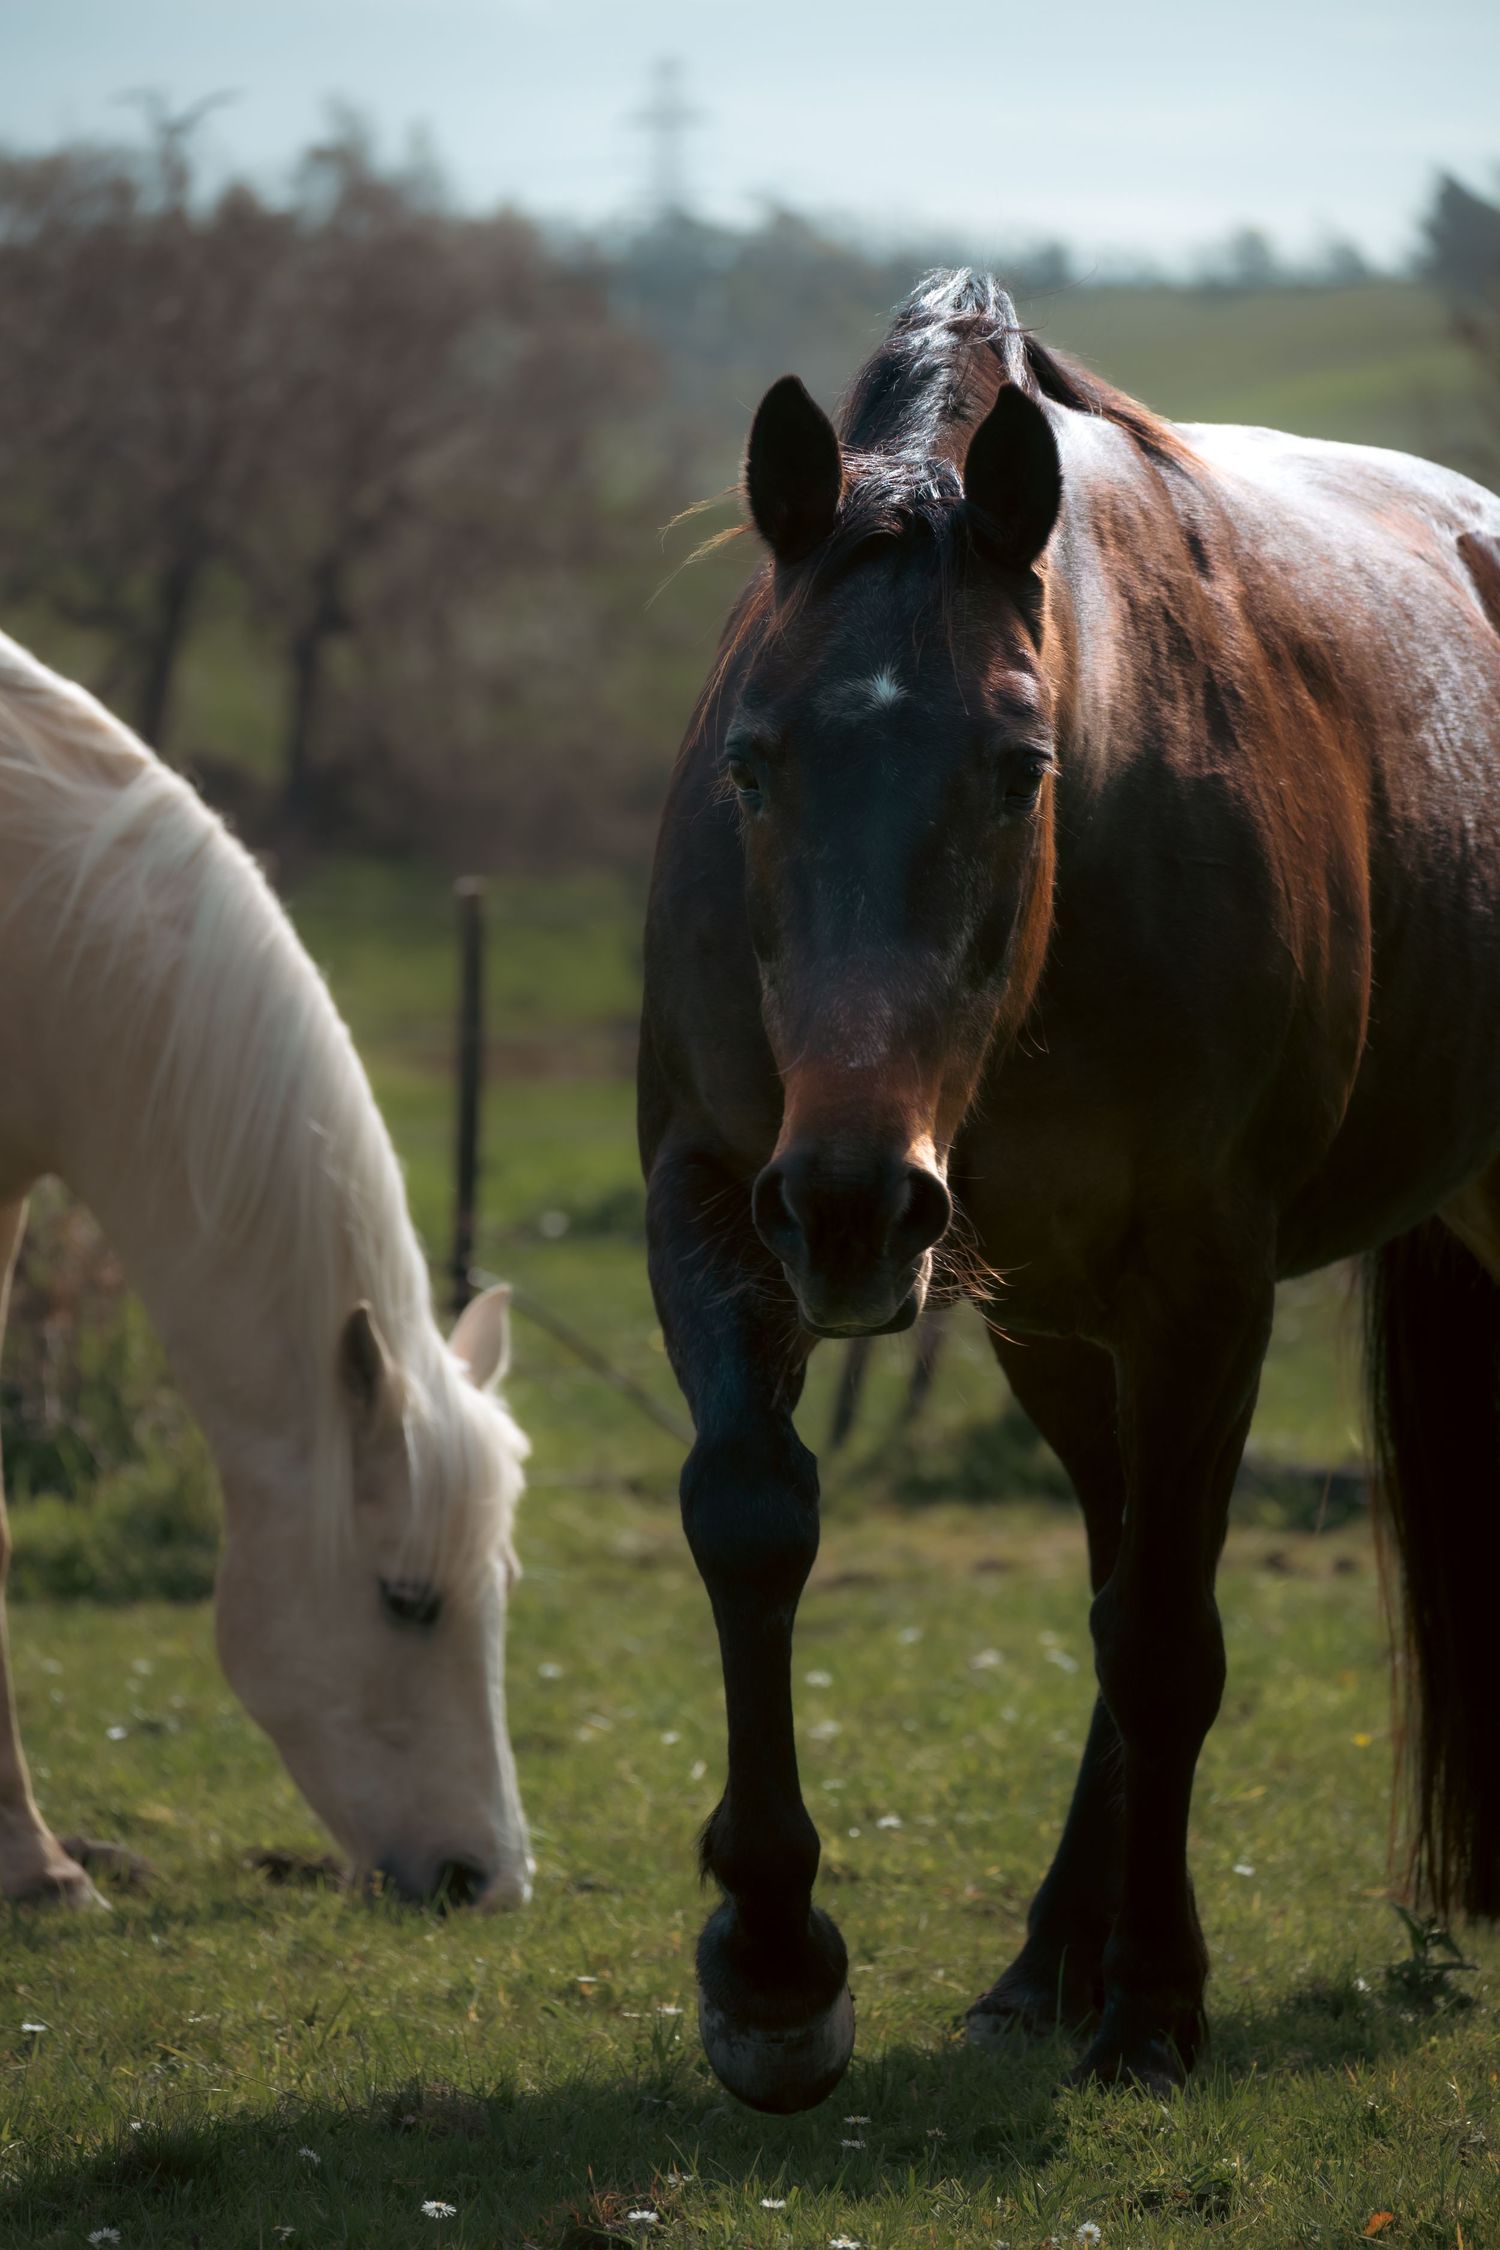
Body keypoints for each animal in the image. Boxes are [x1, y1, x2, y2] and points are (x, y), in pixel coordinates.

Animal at [638, 269, 1500, 2111]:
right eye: (750, 764)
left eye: (1021, 768)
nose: (853, 1203)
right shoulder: (721, 1197)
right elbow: (754, 1518)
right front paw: (773, 1969)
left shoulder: (1209, 1283)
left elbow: (1169, 1638)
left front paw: (1159, 2004)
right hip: (1045, 1315)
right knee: (1110, 1570)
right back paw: (1044, 1964)